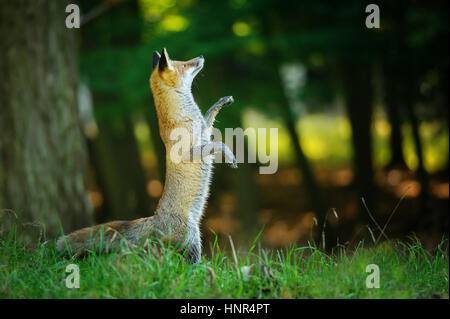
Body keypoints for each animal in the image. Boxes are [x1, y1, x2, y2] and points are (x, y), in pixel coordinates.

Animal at [56, 47, 236, 262]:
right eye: (184, 64)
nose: (200, 57)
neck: (185, 115)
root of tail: (154, 218)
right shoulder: (191, 152)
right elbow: (219, 143)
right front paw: (230, 155)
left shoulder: (205, 132)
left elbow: (210, 116)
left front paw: (222, 102)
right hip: (194, 237)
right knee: (189, 263)